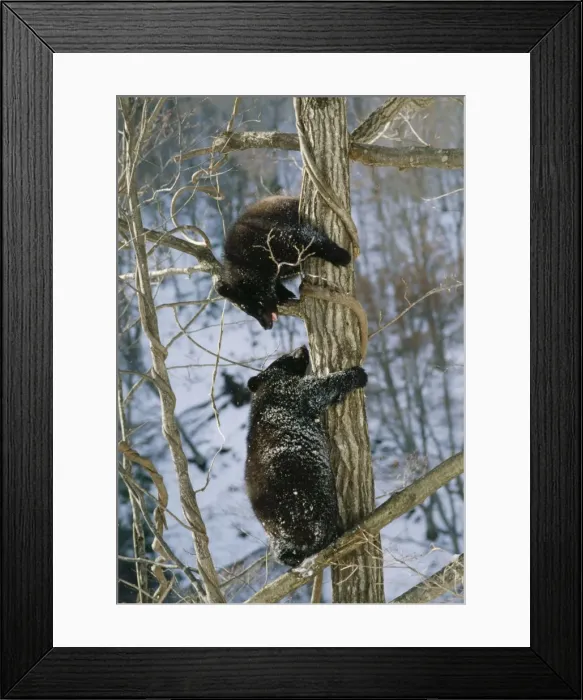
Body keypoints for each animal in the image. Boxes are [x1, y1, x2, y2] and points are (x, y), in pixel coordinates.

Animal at [215, 196, 351, 330]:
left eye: (258, 307)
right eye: (248, 311)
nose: (266, 327)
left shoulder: (279, 237)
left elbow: (309, 239)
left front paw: (341, 256)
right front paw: (283, 294)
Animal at [244, 345, 368, 567]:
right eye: (284, 357)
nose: (302, 347)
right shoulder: (288, 391)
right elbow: (317, 389)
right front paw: (354, 374)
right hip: (307, 496)